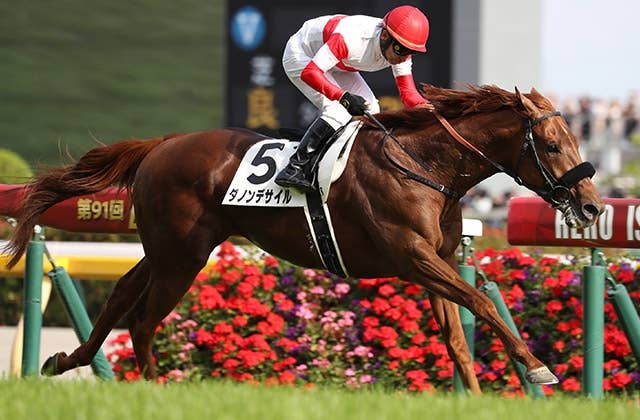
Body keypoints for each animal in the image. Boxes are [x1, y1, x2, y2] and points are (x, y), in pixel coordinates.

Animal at [4, 84, 604, 393]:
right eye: (553, 145)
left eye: (575, 139)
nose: (593, 205)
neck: (426, 167)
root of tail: (162, 143)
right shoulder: (411, 258)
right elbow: (481, 300)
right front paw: (538, 365)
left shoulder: (434, 261)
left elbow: (457, 337)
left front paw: (476, 399)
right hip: (183, 256)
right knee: (143, 319)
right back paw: (152, 389)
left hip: (167, 249)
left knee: (123, 297)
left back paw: (64, 362)